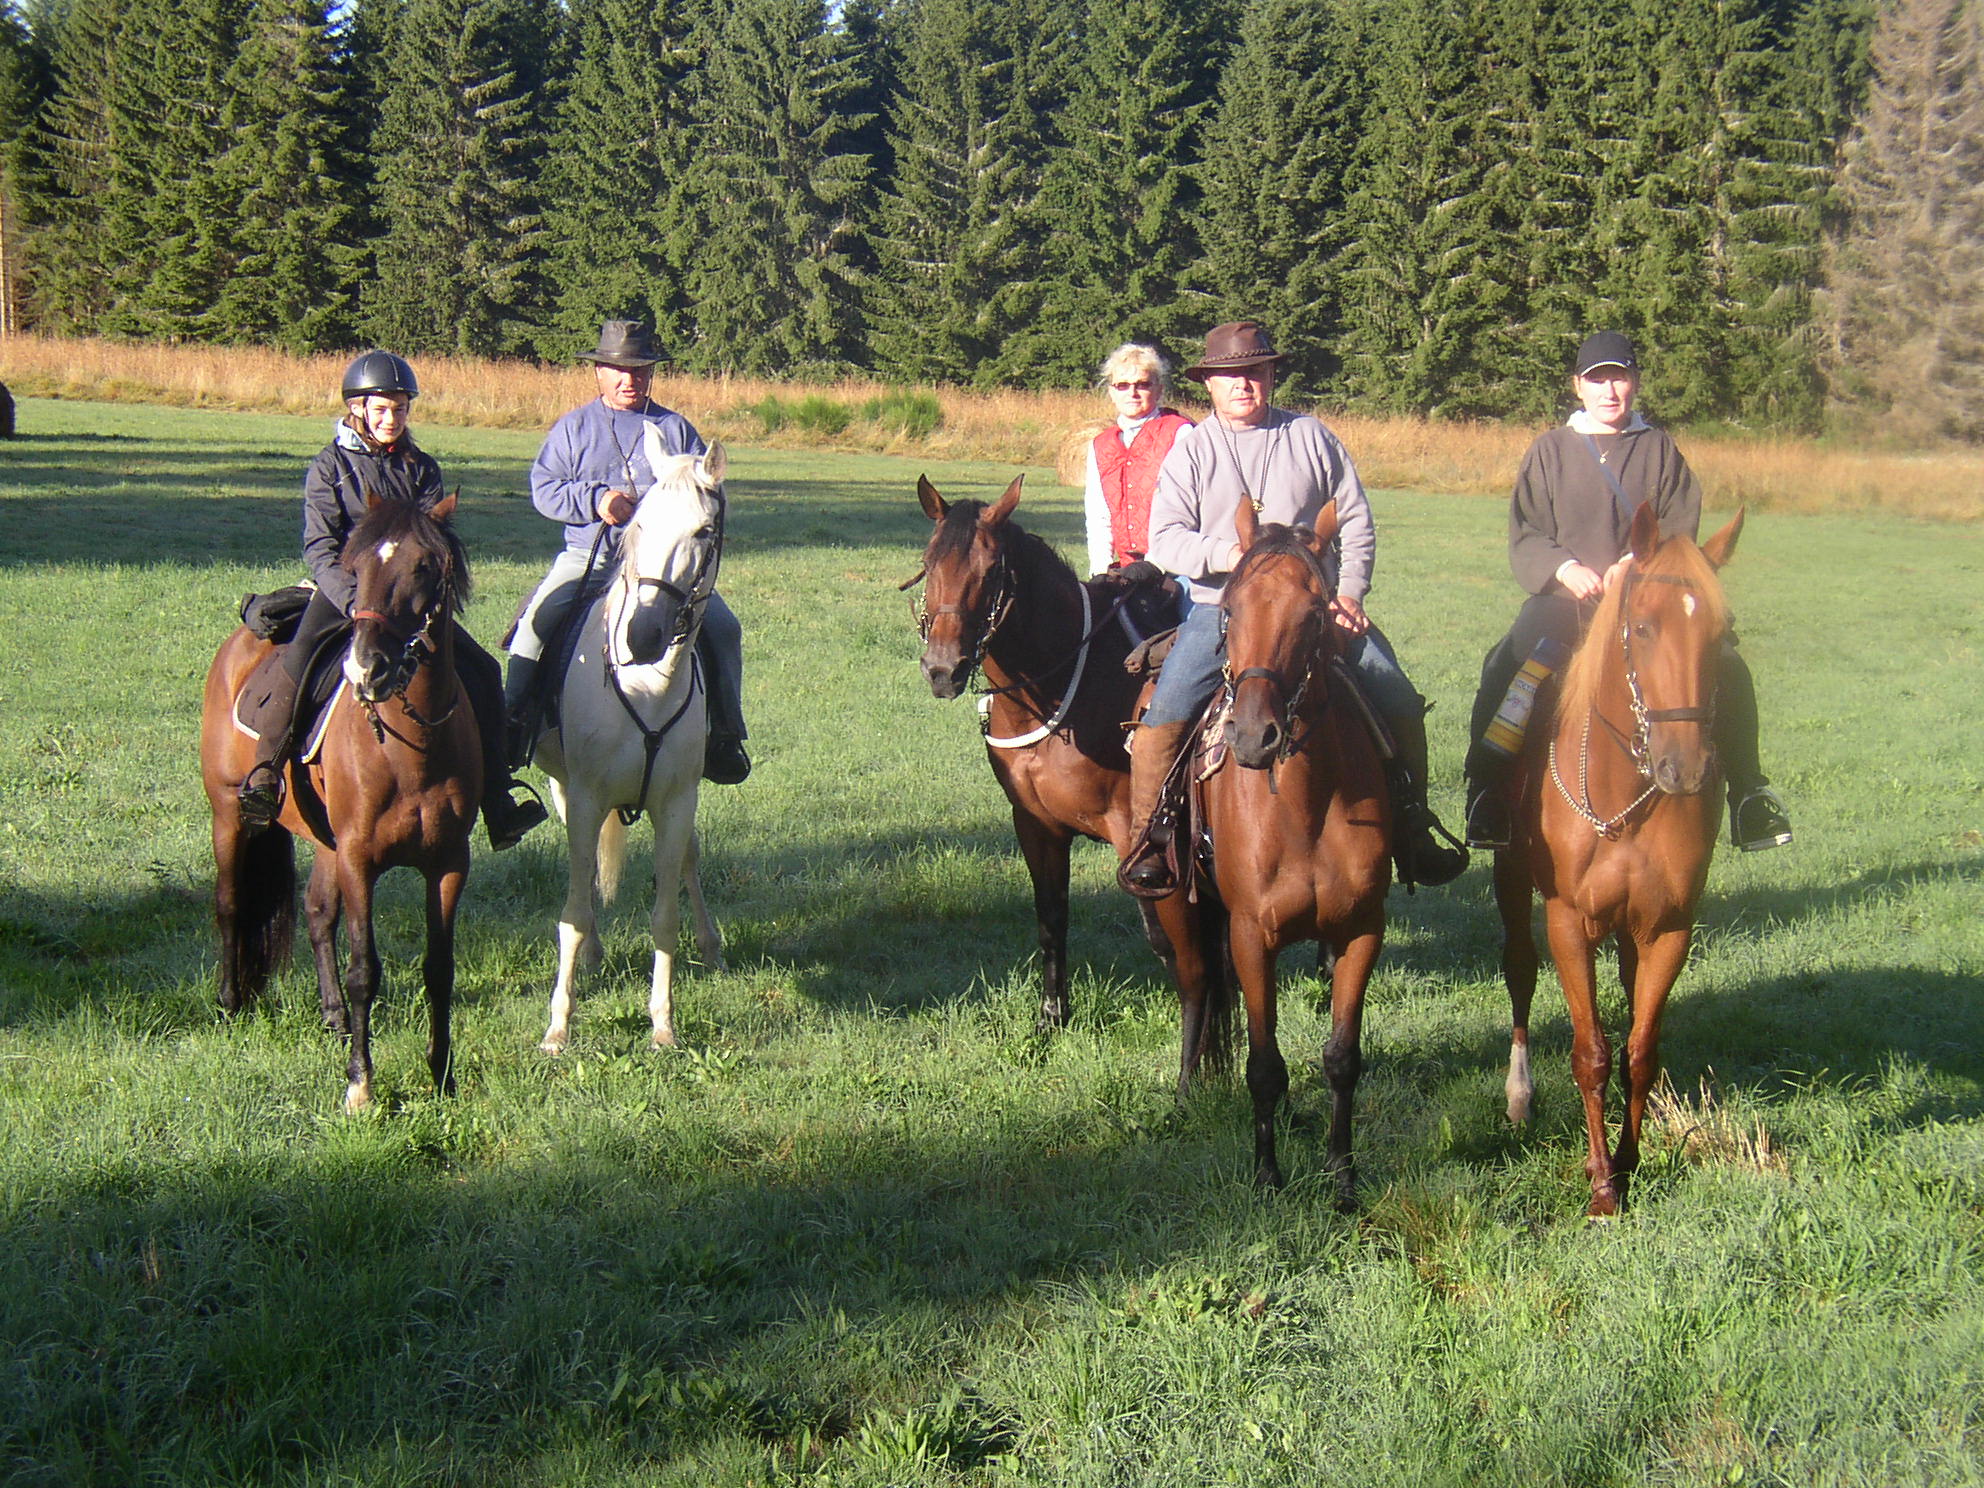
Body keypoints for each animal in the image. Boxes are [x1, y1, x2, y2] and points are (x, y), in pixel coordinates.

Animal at [200, 493, 480, 1112]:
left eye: (426, 565)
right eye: (356, 567)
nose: (369, 667)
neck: (410, 749)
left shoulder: (448, 863)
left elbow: (439, 967)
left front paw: (442, 1076)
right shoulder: (359, 859)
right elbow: (364, 971)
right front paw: (360, 1085)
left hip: (324, 840)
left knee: (315, 911)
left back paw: (332, 1018)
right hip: (229, 814)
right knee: (230, 904)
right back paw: (230, 1003)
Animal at [528, 430, 728, 1055]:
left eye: (703, 531)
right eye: (638, 521)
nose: (642, 636)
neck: (647, 688)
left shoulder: (677, 802)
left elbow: (665, 916)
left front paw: (662, 1023)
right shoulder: (585, 798)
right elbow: (572, 912)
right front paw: (558, 1026)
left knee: (688, 861)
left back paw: (711, 945)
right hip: (564, 790)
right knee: (585, 879)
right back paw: (592, 952)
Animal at [912, 475, 1228, 1085]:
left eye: (991, 570)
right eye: (928, 561)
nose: (942, 669)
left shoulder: (1140, 838)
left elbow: (1171, 943)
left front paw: (1198, 1064)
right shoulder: (1036, 826)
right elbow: (1051, 917)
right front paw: (1050, 1021)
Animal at [1182, 499, 1391, 1199]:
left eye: (1315, 612)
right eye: (1230, 610)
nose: (1253, 736)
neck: (1304, 810)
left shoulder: (1361, 931)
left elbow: (1342, 1057)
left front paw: (1342, 1173)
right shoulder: (1251, 935)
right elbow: (1264, 1065)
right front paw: (1268, 1173)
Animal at [1495, 502, 1744, 1217]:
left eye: (1723, 633)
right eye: (1642, 627)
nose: (1685, 769)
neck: (1623, 792)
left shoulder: (1668, 929)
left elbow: (1640, 1049)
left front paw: (1629, 1160)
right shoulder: (1568, 924)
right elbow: (1592, 1055)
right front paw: (1604, 1184)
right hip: (1512, 883)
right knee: (1519, 973)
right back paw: (1519, 1096)